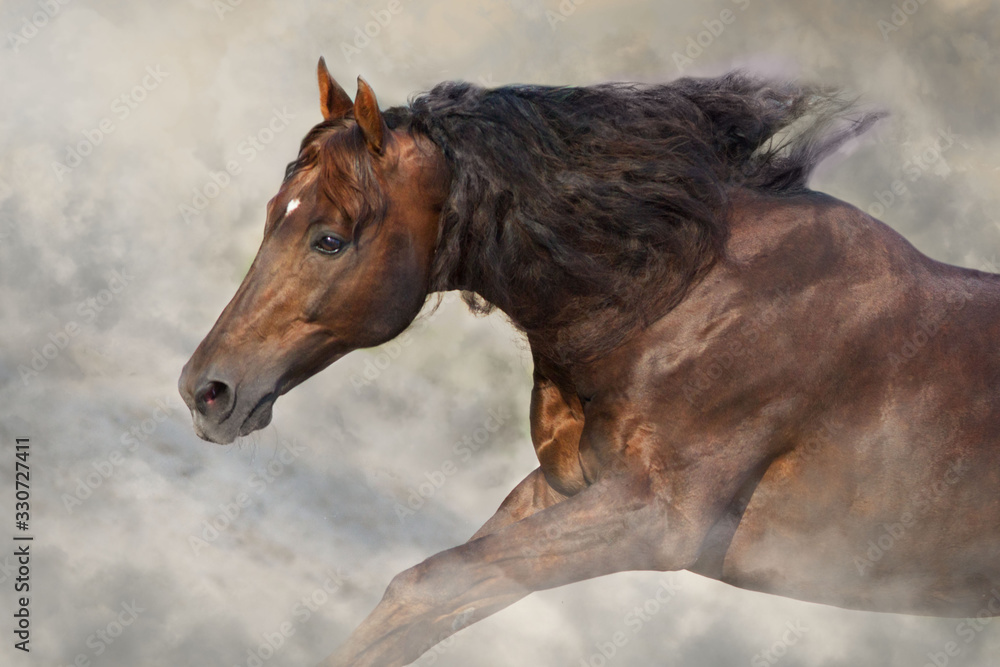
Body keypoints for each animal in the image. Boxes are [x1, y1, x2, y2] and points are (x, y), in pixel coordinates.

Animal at [178, 57, 1000, 666]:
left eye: (329, 238)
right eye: (273, 212)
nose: (205, 391)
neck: (680, 296)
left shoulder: (654, 520)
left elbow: (426, 585)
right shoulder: (564, 487)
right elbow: (417, 602)